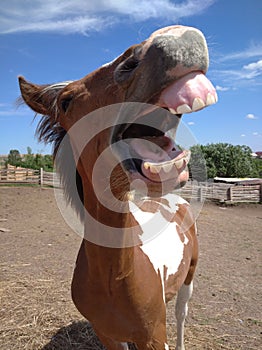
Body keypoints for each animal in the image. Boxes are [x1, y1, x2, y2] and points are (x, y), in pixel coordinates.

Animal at [18, 25, 217, 350]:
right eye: (66, 102)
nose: (173, 37)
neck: (115, 278)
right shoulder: (107, 335)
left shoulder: (154, 336)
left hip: (188, 280)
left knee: (181, 315)